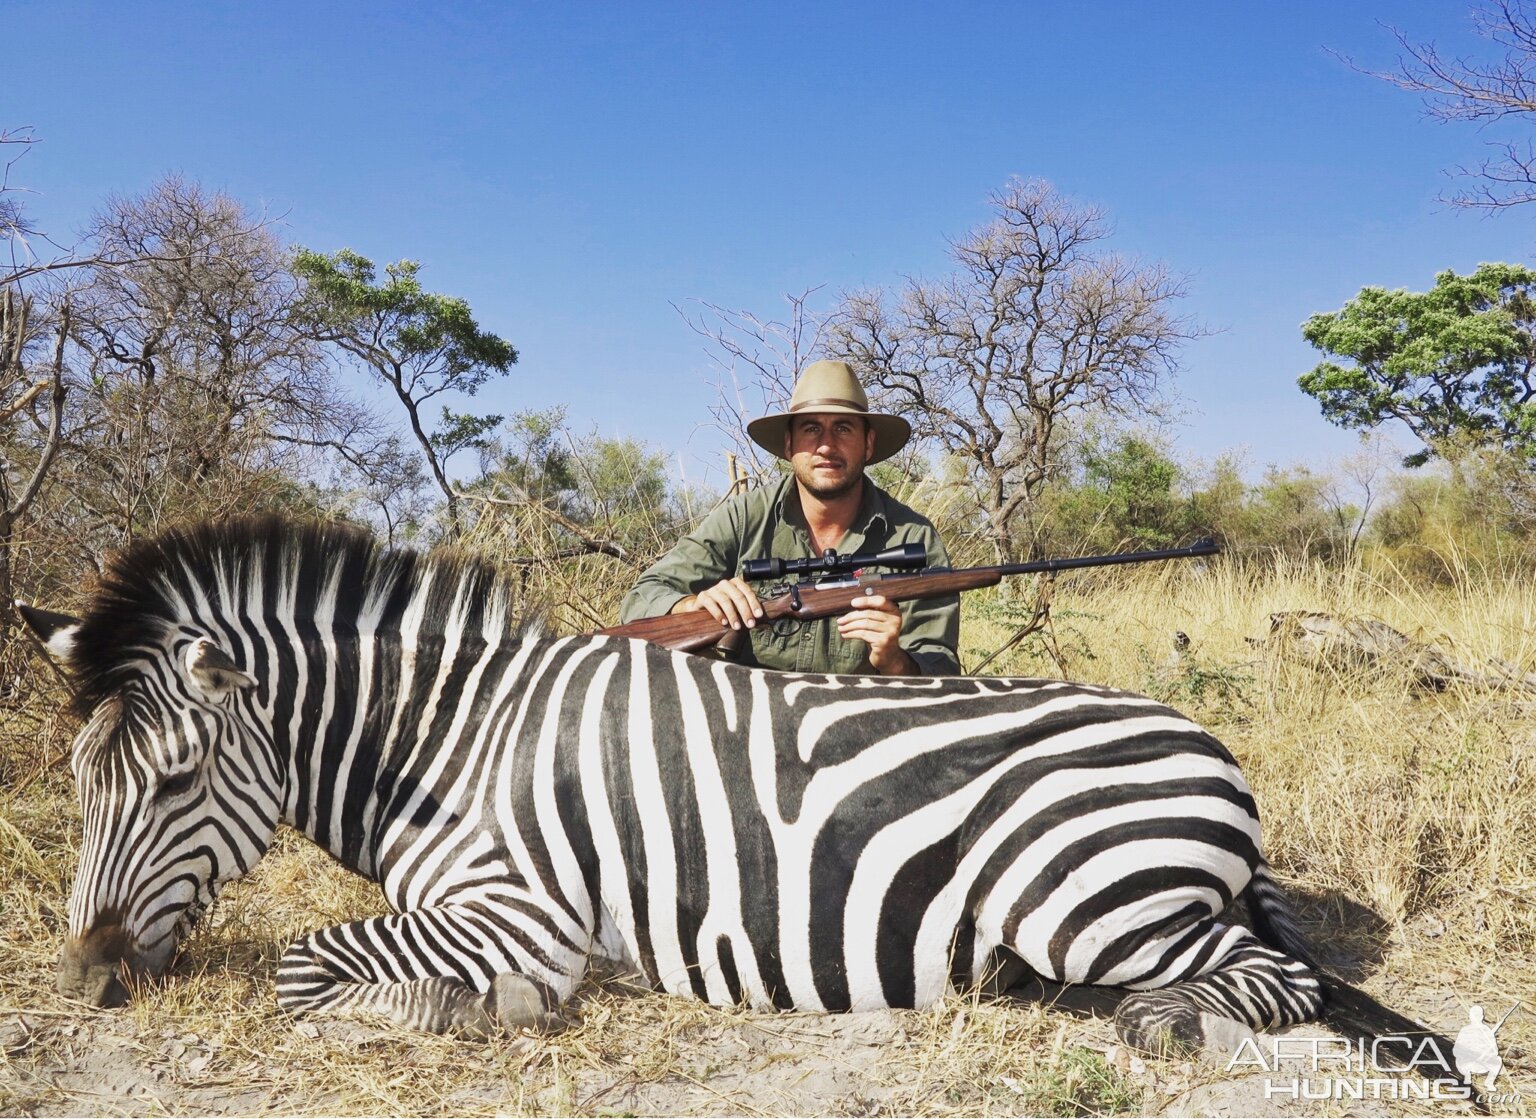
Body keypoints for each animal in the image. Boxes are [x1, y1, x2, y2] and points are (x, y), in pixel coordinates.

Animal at [18, 515, 1462, 1080]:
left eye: (177, 777)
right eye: (83, 779)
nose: (86, 974)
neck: (452, 742)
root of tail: (1213, 746)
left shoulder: (522, 910)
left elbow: (304, 970)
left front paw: (469, 1012)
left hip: (1089, 901)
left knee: (1267, 979)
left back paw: (1158, 1021)